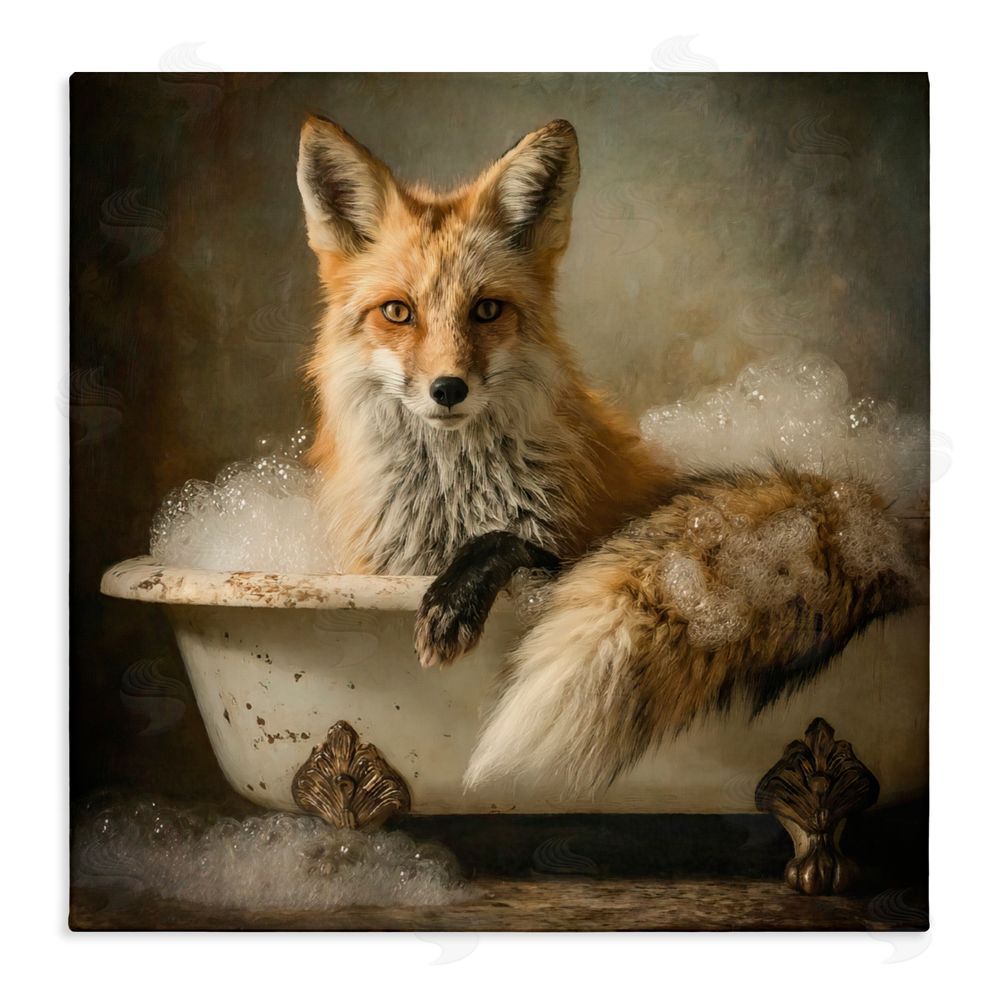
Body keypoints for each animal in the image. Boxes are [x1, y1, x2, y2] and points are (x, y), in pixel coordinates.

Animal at [296, 115, 918, 791]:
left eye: (486, 309)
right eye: (397, 312)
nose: (448, 389)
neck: (453, 502)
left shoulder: (568, 541)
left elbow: (506, 539)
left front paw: (453, 600)